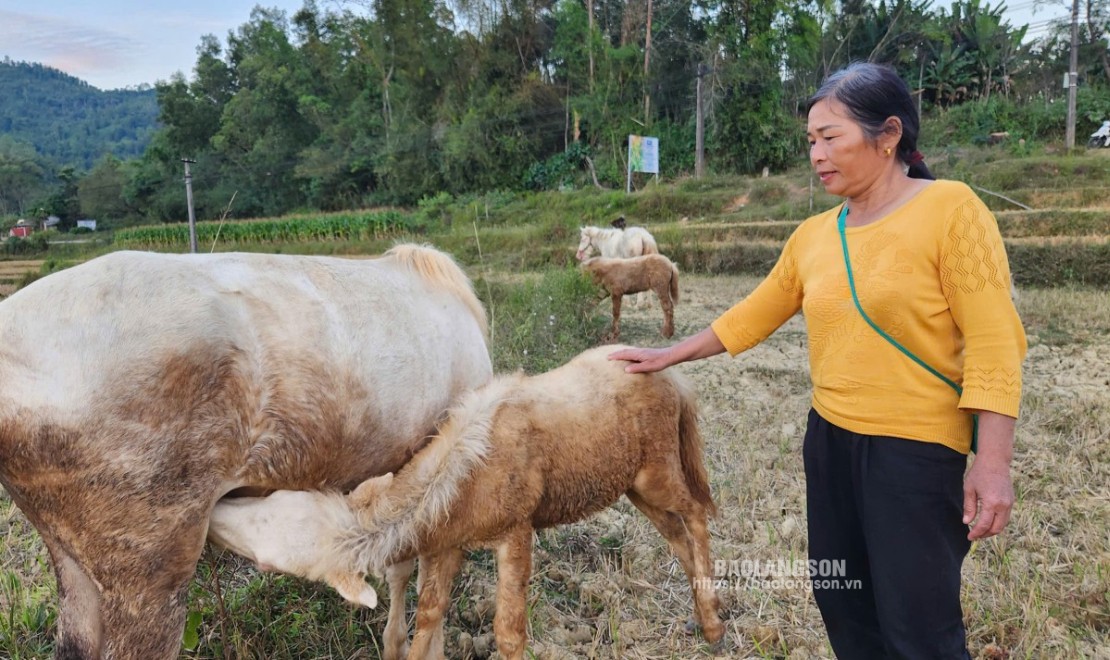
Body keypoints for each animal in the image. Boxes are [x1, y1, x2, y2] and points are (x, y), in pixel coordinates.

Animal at [212, 346, 723, 660]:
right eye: (277, 498)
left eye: (268, 548)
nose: (216, 507)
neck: (465, 477)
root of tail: (673, 375)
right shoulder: (447, 543)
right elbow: (428, 616)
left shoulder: (516, 533)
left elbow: (509, 634)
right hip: (633, 488)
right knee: (677, 537)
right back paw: (701, 617)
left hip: (658, 473)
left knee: (698, 515)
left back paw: (715, 627)